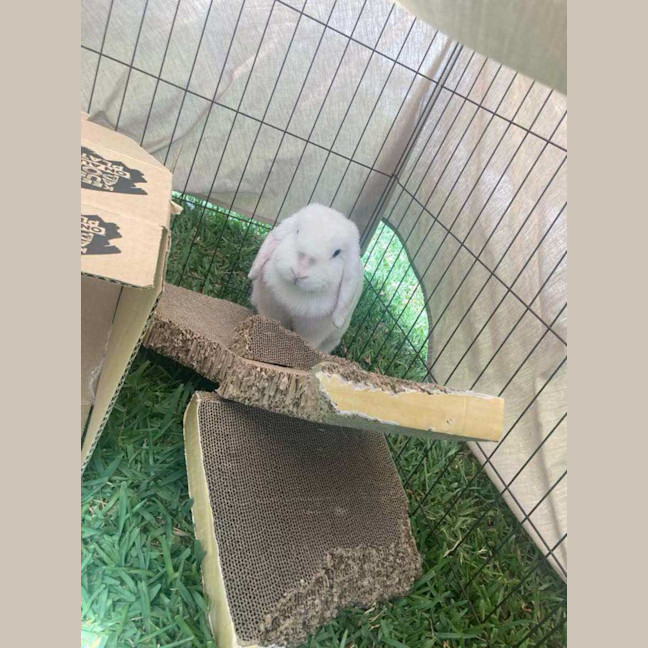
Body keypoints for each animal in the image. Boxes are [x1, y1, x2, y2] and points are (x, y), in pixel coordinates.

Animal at [248, 203, 365, 353]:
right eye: (297, 232)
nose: (300, 271)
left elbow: (306, 341)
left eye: (337, 253)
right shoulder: (270, 308)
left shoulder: (313, 331)